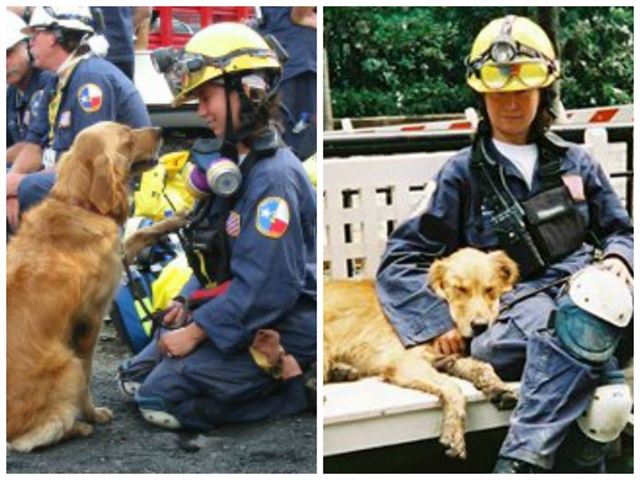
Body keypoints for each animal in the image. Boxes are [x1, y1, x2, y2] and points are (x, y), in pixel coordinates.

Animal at [7, 121, 162, 450]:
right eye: (128, 138)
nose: (160, 130)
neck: (80, 205)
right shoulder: (91, 319)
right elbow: (89, 375)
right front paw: (92, 414)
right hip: (69, 367)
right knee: (34, 436)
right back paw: (78, 427)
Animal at [324, 249, 520, 460]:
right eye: (459, 289)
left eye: (490, 289)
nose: (480, 326)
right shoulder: (405, 362)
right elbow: (453, 388)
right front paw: (453, 428)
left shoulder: (447, 358)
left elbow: (482, 366)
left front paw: (498, 386)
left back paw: (342, 371)